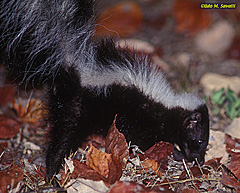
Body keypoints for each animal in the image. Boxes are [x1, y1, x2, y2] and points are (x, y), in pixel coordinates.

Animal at [0, 0, 209, 181]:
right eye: (199, 141)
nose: (199, 160)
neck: (165, 106)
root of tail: (73, 63)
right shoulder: (138, 119)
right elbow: (140, 142)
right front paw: (176, 153)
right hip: (74, 108)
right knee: (62, 137)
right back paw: (51, 175)